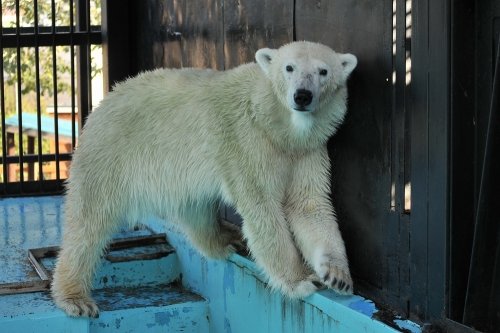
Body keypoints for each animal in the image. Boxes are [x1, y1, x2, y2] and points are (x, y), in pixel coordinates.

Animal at [51, 40, 356, 316]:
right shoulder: (248, 141)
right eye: (289, 67)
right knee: (88, 222)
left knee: (195, 208)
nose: (302, 96)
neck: (277, 126)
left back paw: (225, 240)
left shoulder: (306, 151)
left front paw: (337, 275)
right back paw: (75, 298)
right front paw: (301, 280)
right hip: (110, 153)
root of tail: (105, 100)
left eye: (323, 71)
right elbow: (263, 210)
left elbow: (309, 205)